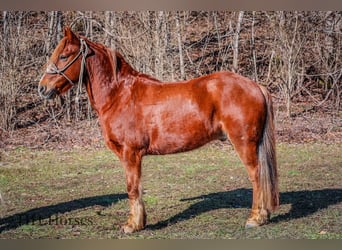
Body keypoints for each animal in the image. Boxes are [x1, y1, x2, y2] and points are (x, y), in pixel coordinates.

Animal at [38, 26, 278, 232]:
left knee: (257, 176)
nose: (42, 88)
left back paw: (255, 218)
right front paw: (139, 221)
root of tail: (255, 85)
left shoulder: (131, 153)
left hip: (244, 143)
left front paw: (132, 225)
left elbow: (132, 188)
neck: (119, 95)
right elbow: (136, 188)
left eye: (64, 56)